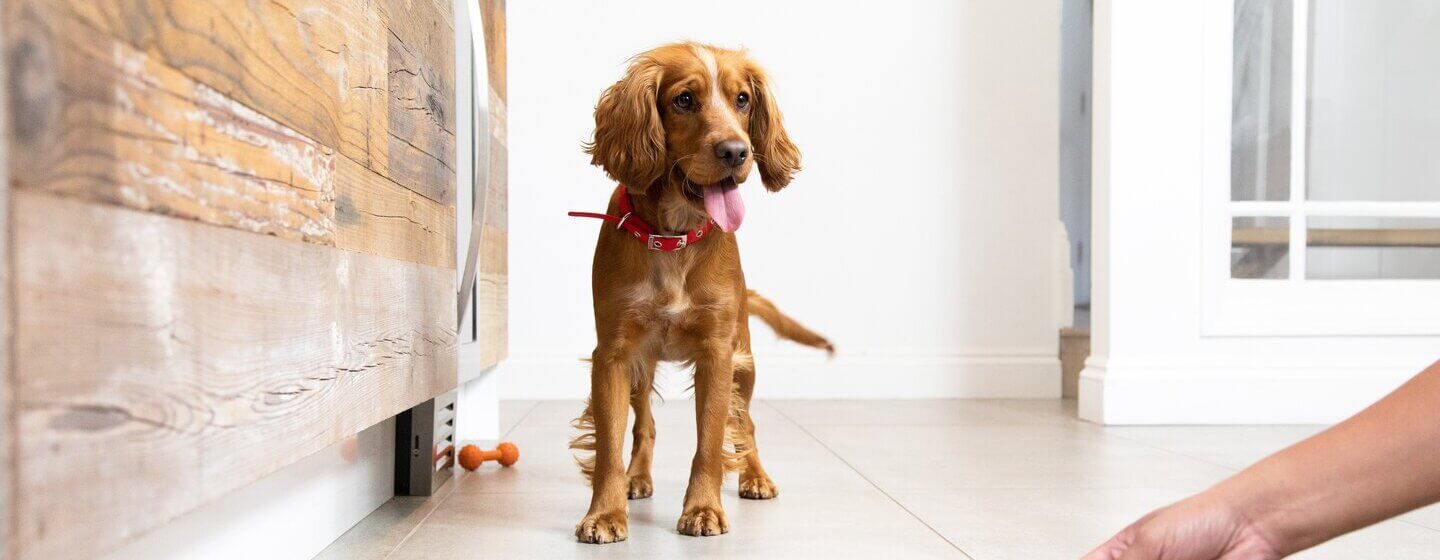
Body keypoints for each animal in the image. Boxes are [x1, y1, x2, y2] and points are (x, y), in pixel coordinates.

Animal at [564, 43, 835, 541]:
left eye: (743, 99)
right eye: (684, 100)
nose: (736, 151)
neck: (675, 238)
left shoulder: (718, 354)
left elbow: (711, 439)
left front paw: (704, 509)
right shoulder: (613, 355)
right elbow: (611, 444)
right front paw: (605, 514)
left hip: (744, 363)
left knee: (746, 425)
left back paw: (755, 477)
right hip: (642, 366)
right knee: (646, 426)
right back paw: (637, 478)